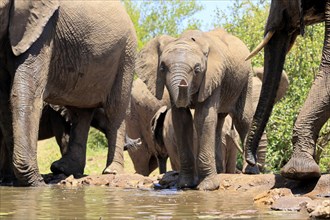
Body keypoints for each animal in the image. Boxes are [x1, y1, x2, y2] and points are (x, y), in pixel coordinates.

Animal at [0, 0, 137, 186]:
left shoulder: (43, 31)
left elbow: (26, 92)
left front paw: (36, 183)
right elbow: (4, 99)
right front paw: (17, 181)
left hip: (126, 55)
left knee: (115, 110)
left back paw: (111, 171)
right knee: (81, 112)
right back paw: (64, 169)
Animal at [135, 27, 254, 191]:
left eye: (197, 69)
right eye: (162, 68)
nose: (183, 84)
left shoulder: (212, 77)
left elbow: (202, 117)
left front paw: (207, 187)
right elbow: (181, 119)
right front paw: (185, 185)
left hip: (246, 77)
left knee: (243, 120)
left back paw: (252, 171)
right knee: (219, 122)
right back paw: (220, 171)